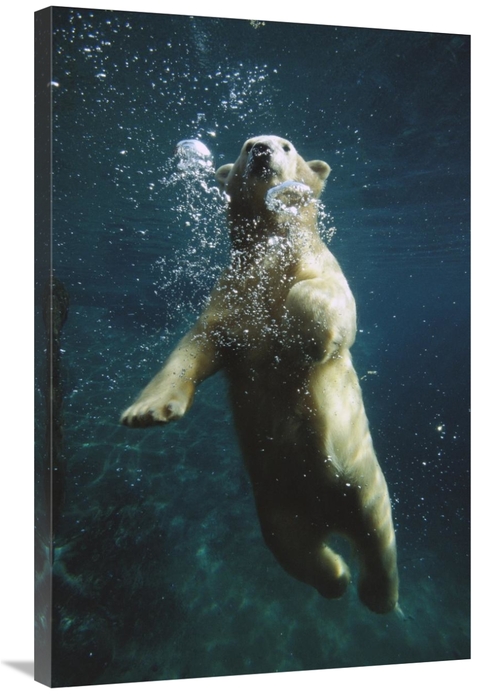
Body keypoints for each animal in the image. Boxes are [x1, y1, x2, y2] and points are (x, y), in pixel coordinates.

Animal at [121, 135, 399, 614]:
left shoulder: (318, 264)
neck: (271, 242)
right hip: (277, 504)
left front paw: (302, 337)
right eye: (246, 144)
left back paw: (377, 595)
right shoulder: (228, 296)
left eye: (286, 145)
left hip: (362, 482)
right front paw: (145, 411)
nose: (263, 150)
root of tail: (327, 514)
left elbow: (328, 300)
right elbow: (194, 348)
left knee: (378, 535)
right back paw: (337, 576)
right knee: (294, 548)